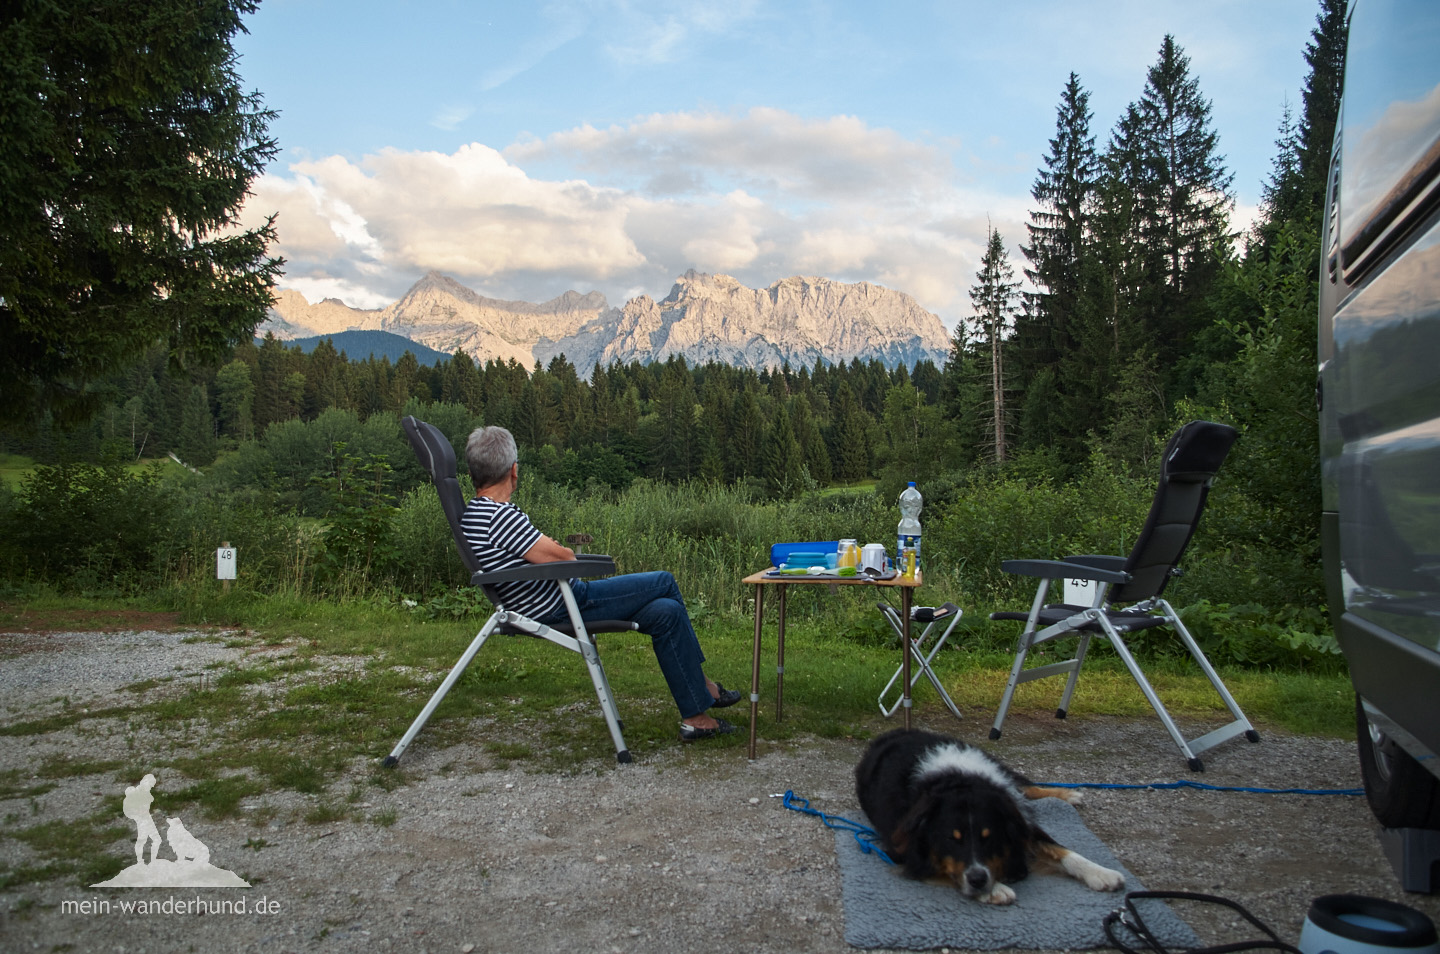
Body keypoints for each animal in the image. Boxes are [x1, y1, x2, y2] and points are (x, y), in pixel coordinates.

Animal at [852, 729, 1123, 910]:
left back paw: (1068, 794)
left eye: (988, 837)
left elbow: (1062, 850)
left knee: (1025, 785)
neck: (960, 781)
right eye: (952, 839)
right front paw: (996, 889)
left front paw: (1101, 873)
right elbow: (946, 869)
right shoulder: (903, 848)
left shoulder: (1019, 819)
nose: (978, 879)